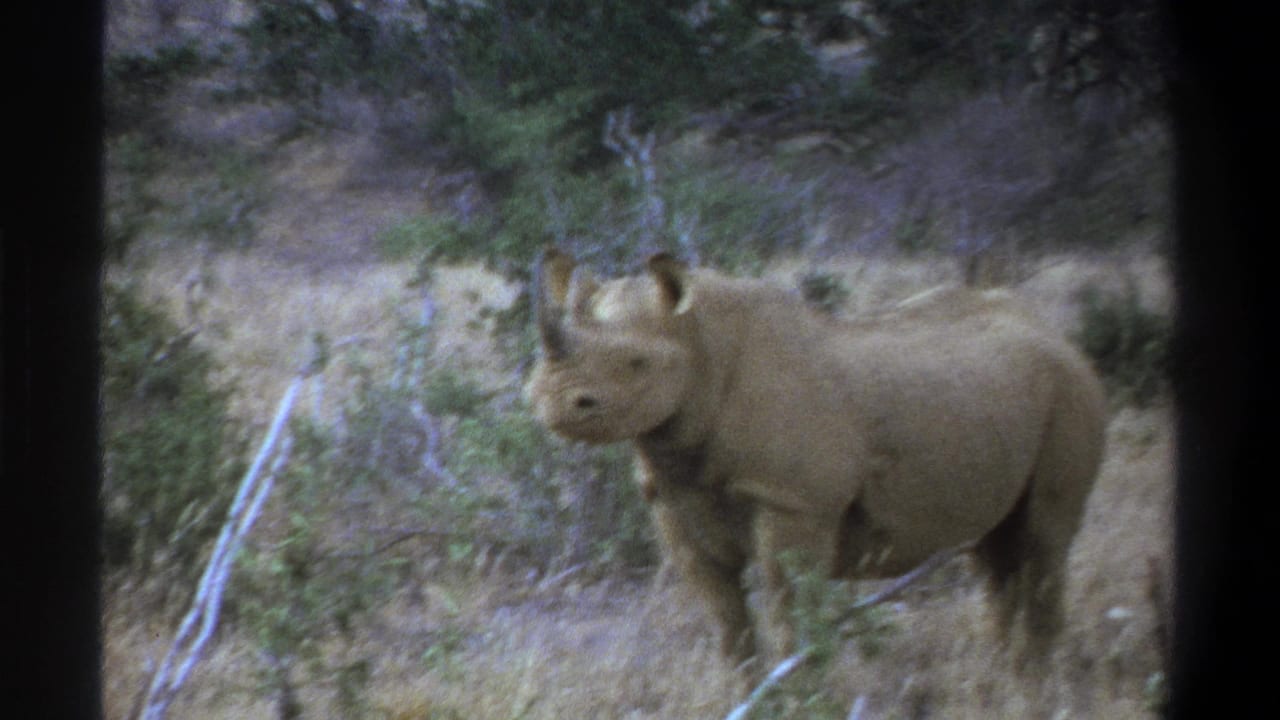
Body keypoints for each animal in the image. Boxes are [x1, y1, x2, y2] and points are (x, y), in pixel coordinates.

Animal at [526, 248, 1106, 665]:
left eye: (637, 363)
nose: (552, 401)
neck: (701, 345)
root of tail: (1055, 333)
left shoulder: (795, 503)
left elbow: (788, 617)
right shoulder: (674, 498)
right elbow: (726, 624)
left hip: (1071, 388)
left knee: (1045, 540)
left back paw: (1033, 684)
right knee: (994, 554)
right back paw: (1000, 675)